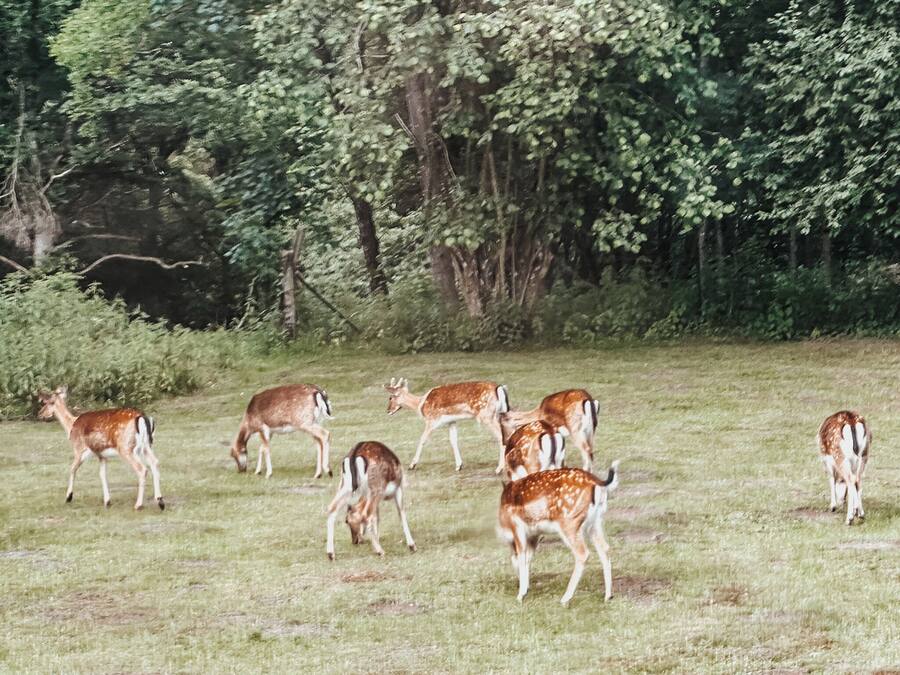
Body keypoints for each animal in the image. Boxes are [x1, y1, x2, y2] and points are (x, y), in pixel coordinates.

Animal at [497, 462, 619, 606]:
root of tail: (597, 482)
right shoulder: (534, 534)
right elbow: (528, 556)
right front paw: (525, 589)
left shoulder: (518, 527)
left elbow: (521, 556)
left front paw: (521, 595)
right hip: (595, 521)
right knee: (605, 548)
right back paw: (608, 596)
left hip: (569, 522)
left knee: (583, 553)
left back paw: (565, 599)